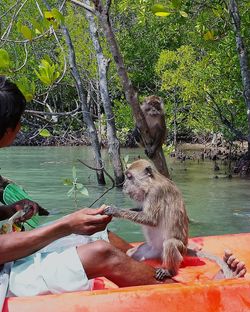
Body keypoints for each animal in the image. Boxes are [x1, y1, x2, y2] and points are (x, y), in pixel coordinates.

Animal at [103, 160, 234, 280]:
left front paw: (115, 210)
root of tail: (186, 249)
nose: (124, 185)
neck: (151, 183)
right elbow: (141, 210)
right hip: (152, 251)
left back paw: (169, 271)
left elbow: (150, 219)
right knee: (131, 252)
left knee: (170, 244)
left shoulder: (156, 193)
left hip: (179, 250)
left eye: (129, 177)